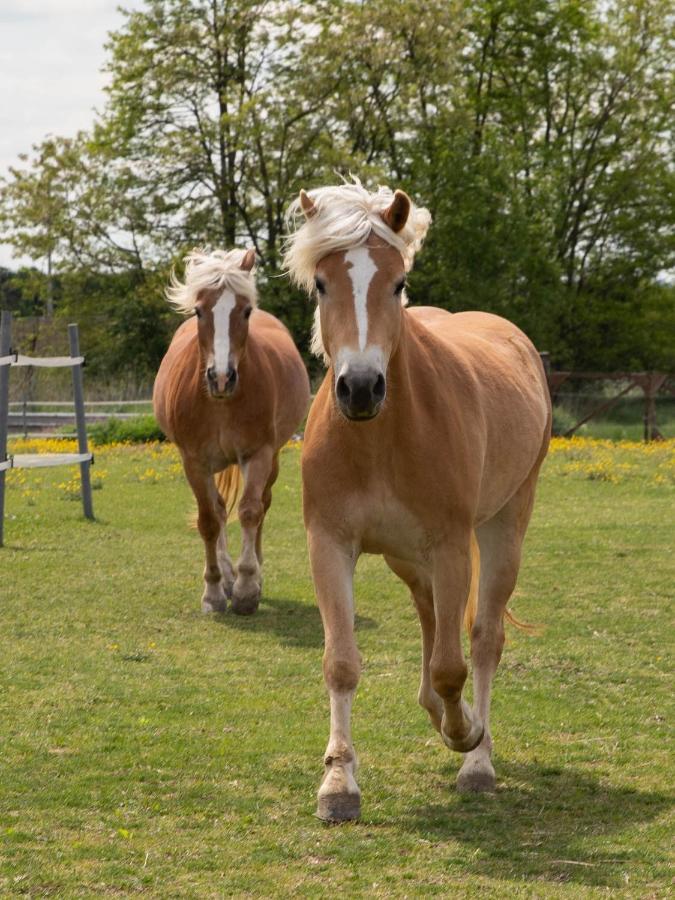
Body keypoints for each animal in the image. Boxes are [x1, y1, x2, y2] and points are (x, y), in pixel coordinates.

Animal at [153, 246, 308, 616]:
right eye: (198, 311)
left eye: (246, 310)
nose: (221, 377)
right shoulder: (193, 461)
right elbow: (209, 519)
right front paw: (213, 590)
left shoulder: (259, 454)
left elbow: (250, 511)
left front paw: (247, 588)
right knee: (221, 509)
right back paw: (225, 575)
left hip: (273, 458)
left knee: (262, 504)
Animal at [282, 181, 552, 824]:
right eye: (321, 283)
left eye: (398, 282)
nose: (359, 388)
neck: (381, 438)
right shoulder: (329, 544)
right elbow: (342, 662)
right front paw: (338, 783)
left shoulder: (451, 544)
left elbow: (455, 663)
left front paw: (467, 736)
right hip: (407, 558)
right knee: (433, 617)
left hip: (504, 527)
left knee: (481, 639)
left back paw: (476, 755)